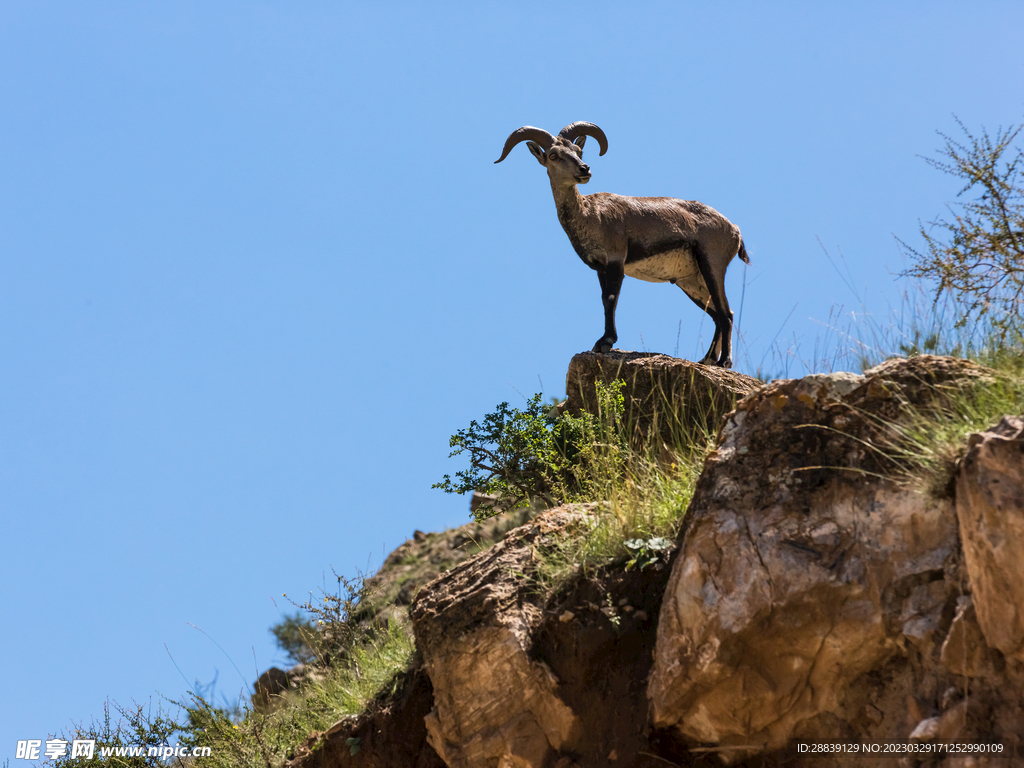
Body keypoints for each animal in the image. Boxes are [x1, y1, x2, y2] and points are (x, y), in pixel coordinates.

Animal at [491, 121, 749, 368]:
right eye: (553, 155)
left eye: (578, 151)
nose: (584, 169)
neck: (590, 215)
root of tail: (735, 230)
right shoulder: (600, 268)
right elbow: (604, 298)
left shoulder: (615, 260)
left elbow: (610, 299)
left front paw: (605, 342)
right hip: (691, 281)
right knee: (718, 314)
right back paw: (708, 359)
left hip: (712, 265)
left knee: (725, 314)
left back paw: (724, 362)